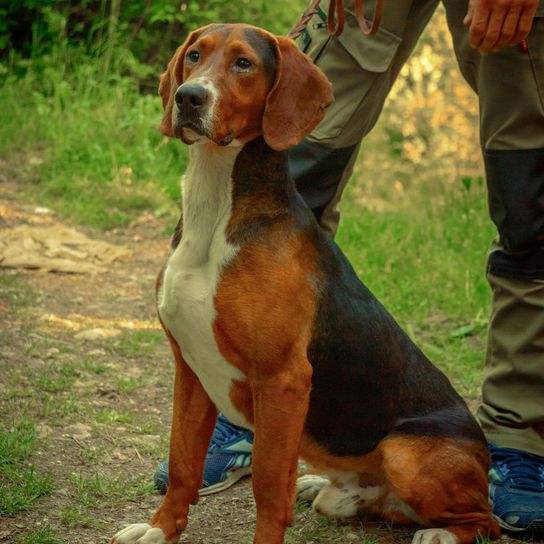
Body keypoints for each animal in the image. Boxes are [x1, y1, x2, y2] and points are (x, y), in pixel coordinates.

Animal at [111, 22, 502, 544]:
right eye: (194, 55)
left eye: (244, 64)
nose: (188, 97)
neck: (217, 206)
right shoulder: (190, 369)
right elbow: (182, 462)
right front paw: (160, 529)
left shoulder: (283, 381)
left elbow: (267, 486)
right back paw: (331, 487)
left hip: (403, 451)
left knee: (486, 519)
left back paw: (442, 532)